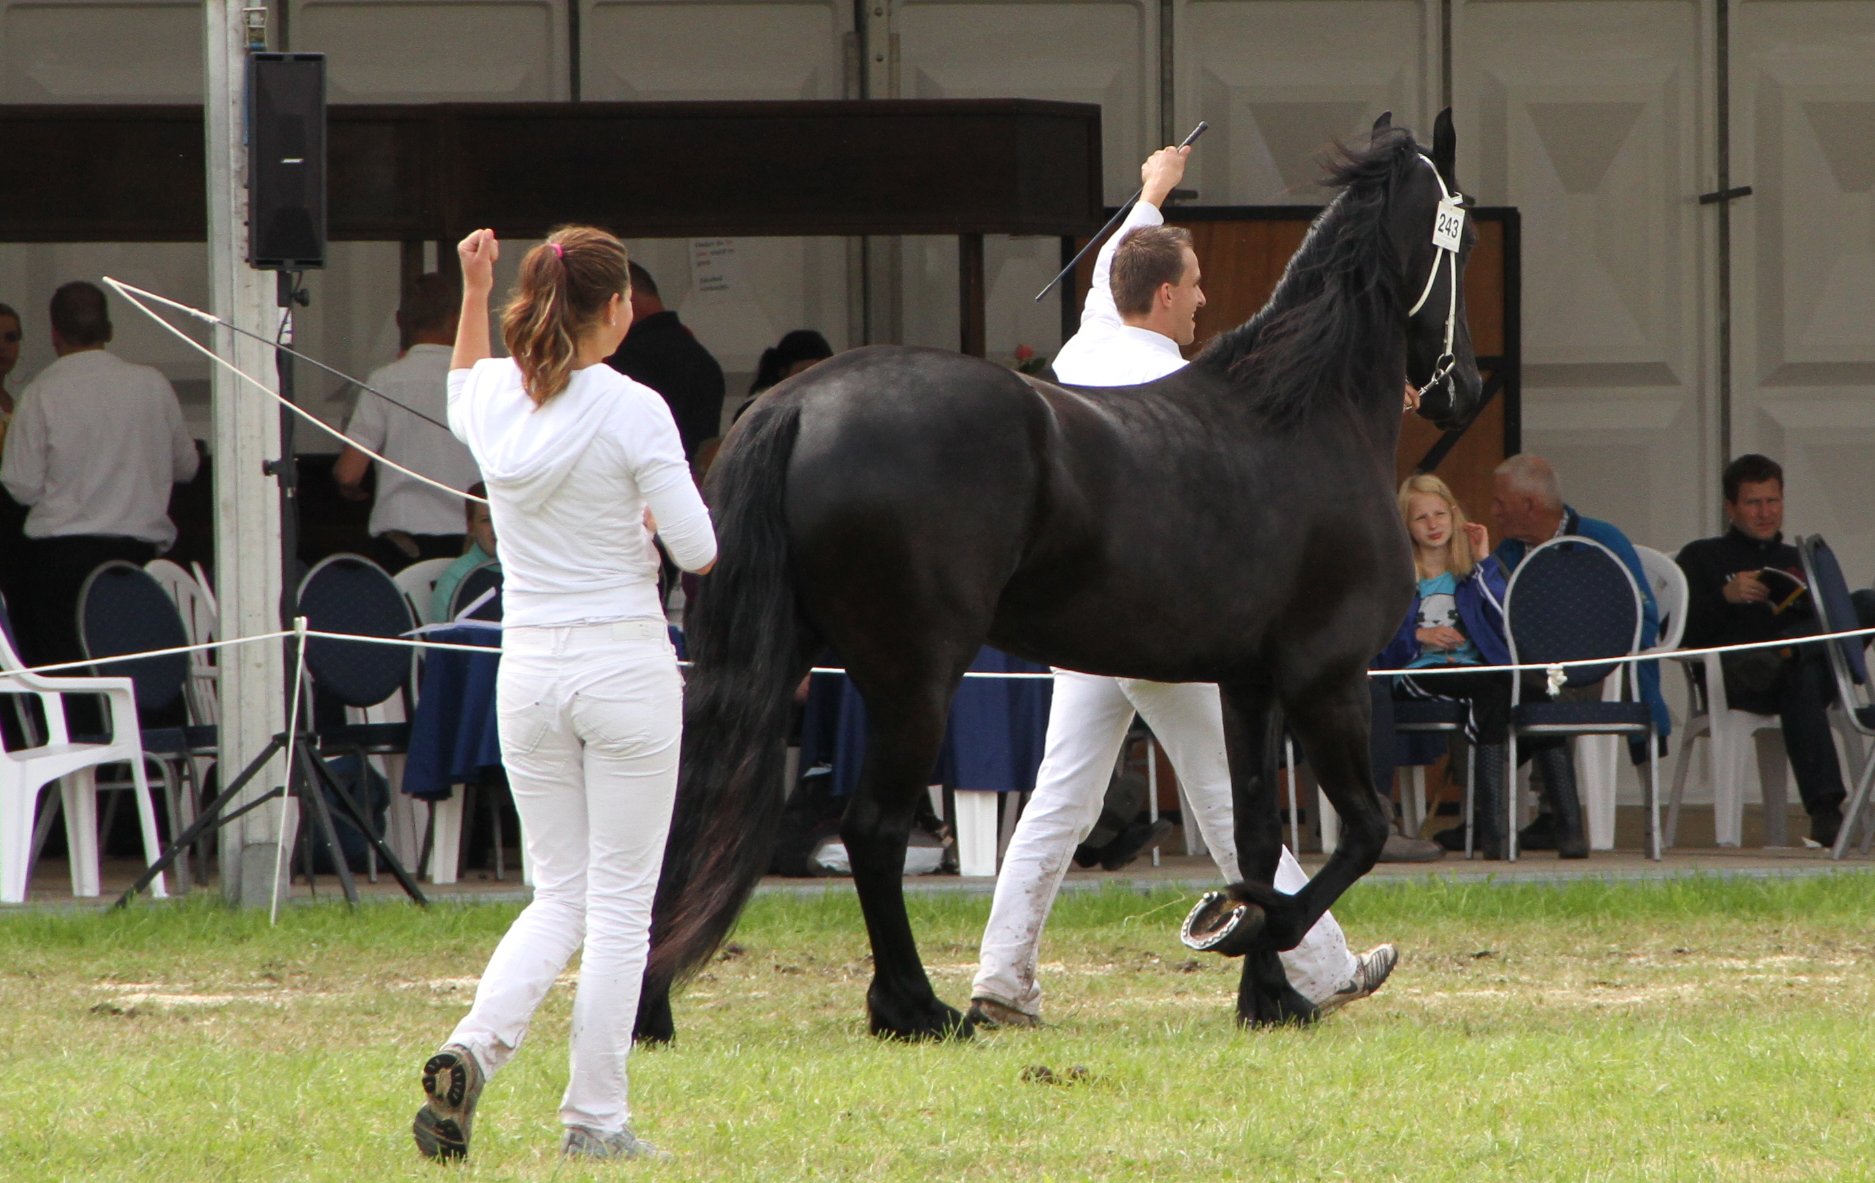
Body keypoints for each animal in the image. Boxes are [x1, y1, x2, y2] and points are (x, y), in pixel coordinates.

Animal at [645, 111, 1477, 1034]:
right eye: (1463, 239)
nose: (1465, 389)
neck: (1299, 416)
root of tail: (797, 401)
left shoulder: (1250, 683)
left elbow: (1255, 834)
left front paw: (1269, 993)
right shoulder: (1324, 674)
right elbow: (1360, 830)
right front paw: (1250, 929)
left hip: (781, 656)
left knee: (695, 814)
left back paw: (653, 1006)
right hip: (913, 676)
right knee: (872, 828)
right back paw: (915, 1006)